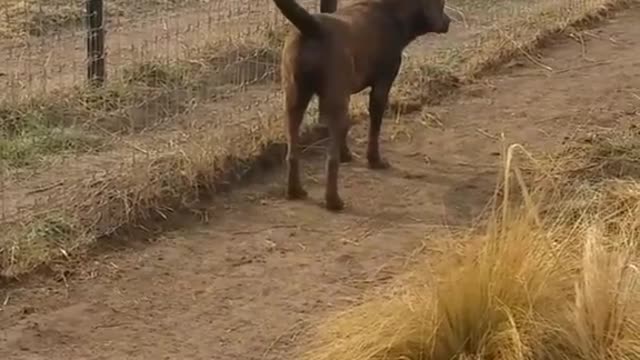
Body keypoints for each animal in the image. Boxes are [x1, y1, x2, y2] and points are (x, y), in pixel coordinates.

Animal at [274, 0, 450, 211]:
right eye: (442, 4)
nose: (448, 21)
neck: (391, 13)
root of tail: (312, 27)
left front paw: (346, 154)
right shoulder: (381, 86)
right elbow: (374, 129)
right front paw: (374, 160)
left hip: (294, 101)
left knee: (292, 153)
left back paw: (295, 191)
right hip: (333, 100)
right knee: (330, 160)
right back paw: (333, 201)